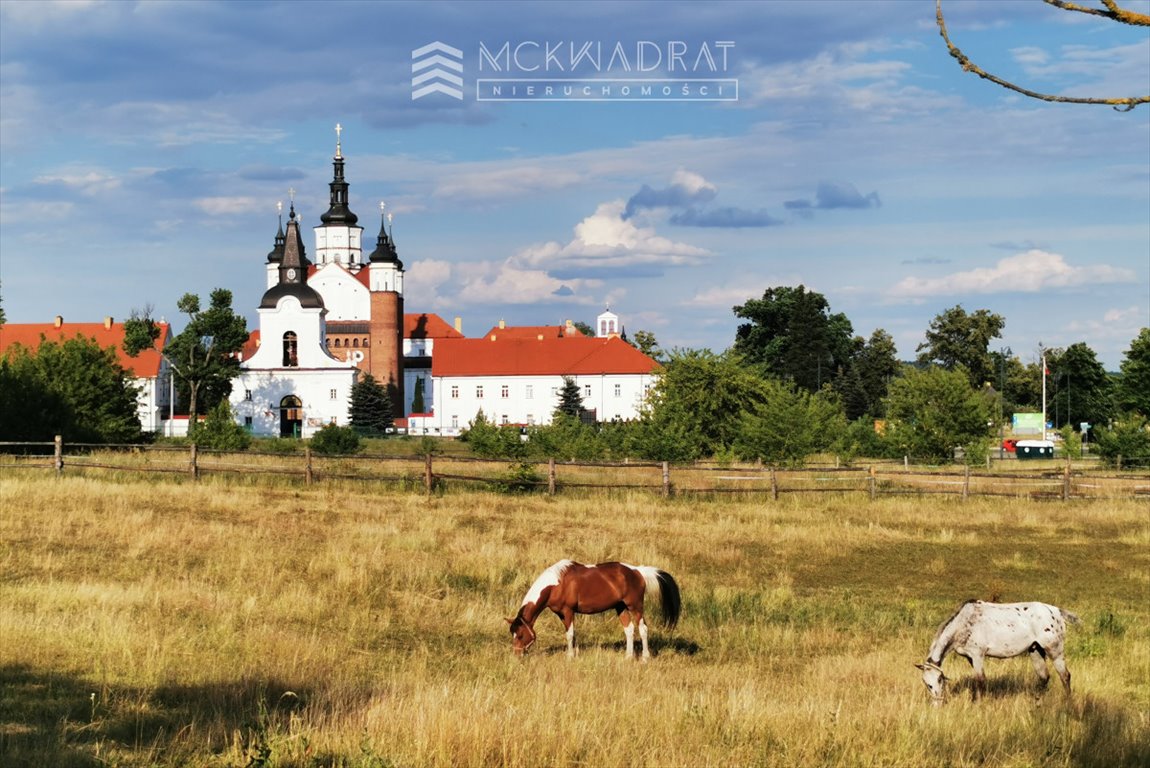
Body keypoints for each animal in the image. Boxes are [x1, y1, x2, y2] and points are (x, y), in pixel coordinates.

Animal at [506, 558, 680, 662]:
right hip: (621, 607)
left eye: (520, 635)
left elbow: (569, 635)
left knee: (643, 629)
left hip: (635, 606)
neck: (556, 584)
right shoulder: (562, 614)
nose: (516, 655)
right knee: (629, 630)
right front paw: (575, 654)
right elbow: (573, 634)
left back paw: (644, 657)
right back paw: (628, 656)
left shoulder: (568, 612)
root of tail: (638, 571)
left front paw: (570, 656)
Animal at [915, 597, 1076, 703]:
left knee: (1065, 676)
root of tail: (1057, 611)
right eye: (926, 683)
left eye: (939, 680)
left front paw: (979, 704)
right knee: (1044, 677)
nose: (937, 703)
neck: (964, 623)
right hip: (1035, 650)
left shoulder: (978, 655)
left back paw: (1067, 703)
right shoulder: (971, 658)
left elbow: (980, 681)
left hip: (1054, 650)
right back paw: (1037, 702)